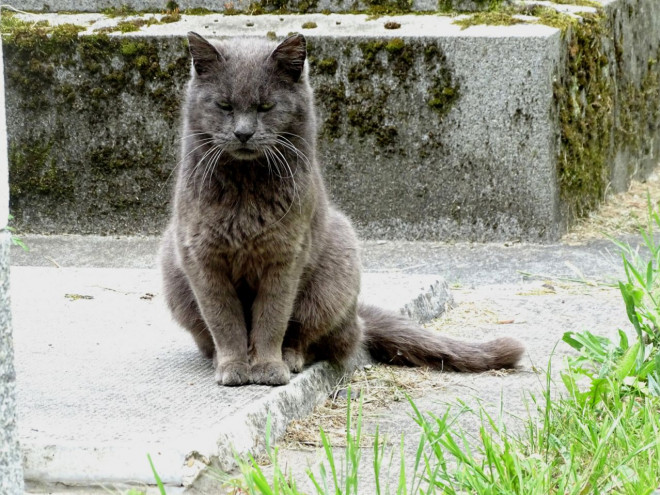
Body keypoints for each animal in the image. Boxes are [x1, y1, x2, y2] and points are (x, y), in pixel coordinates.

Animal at [159, 32, 520, 388]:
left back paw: (290, 359)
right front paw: (234, 366)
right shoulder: (202, 258)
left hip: (336, 266)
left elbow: (272, 317)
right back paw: (221, 359)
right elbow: (224, 320)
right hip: (172, 267)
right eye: (224, 105)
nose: (243, 133)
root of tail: (357, 315)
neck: (244, 188)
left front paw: (268, 368)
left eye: (266, 106)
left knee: (316, 336)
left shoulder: (286, 256)